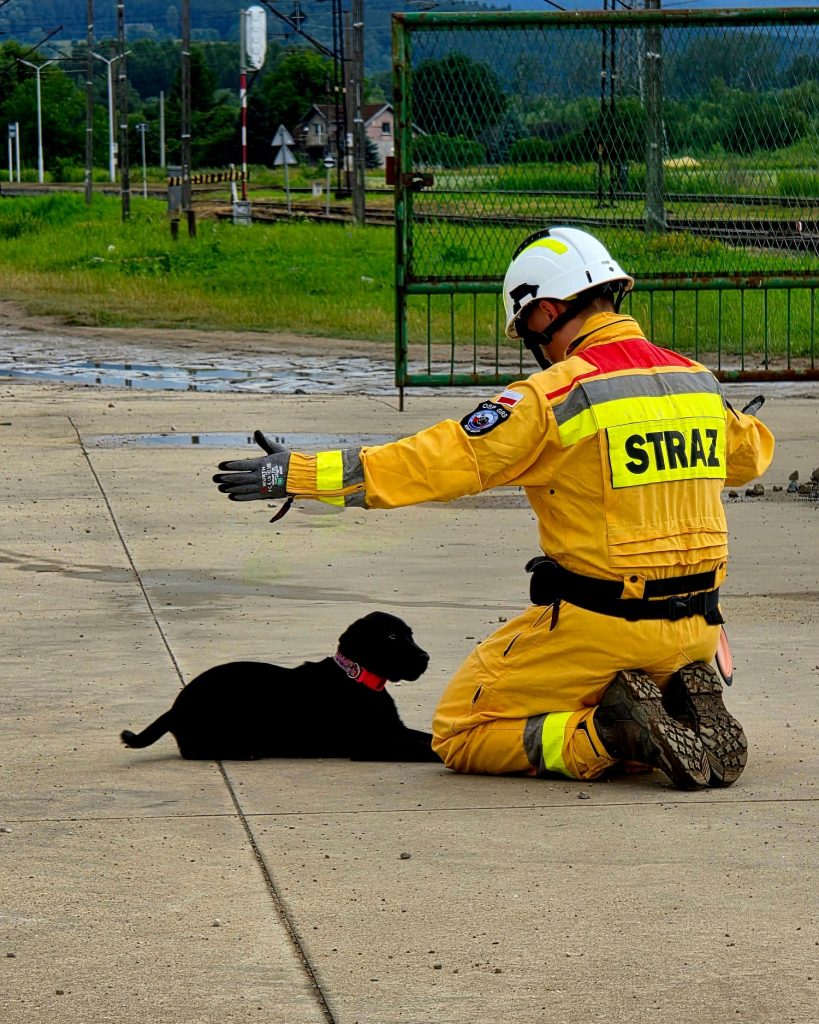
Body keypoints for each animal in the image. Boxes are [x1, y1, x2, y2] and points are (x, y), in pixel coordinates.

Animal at [120, 611, 439, 762]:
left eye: (409, 634)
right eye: (391, 636)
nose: (426, 657)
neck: (358, 677)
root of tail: (175, 707)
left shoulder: (394, 730)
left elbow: (427, 739)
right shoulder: (374, 743)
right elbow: (425, 749)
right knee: (193, 750)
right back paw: (244, 752)